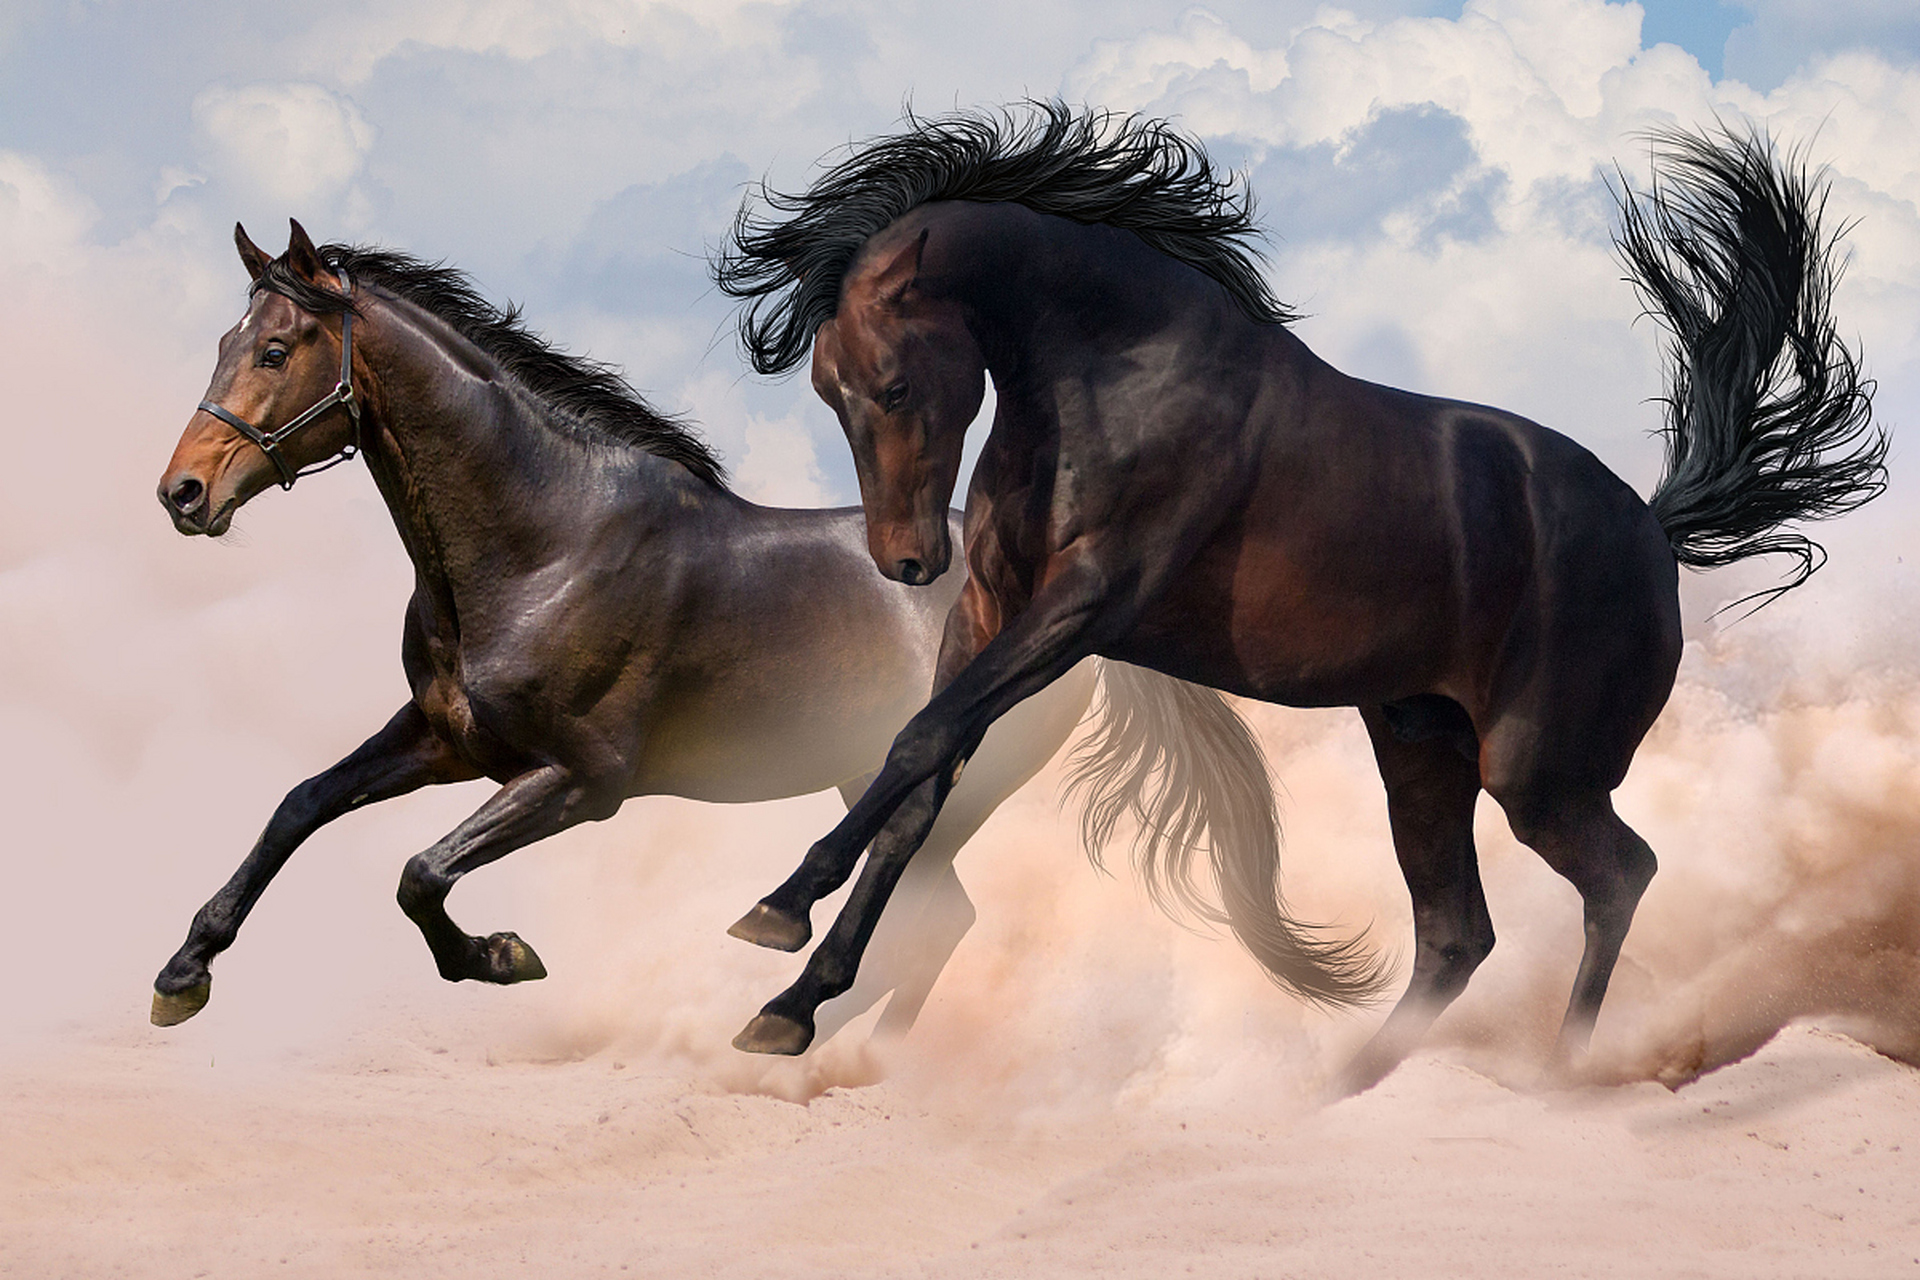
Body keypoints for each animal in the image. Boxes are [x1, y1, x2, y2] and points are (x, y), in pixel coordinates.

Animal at [150, 219, 1289, 1046]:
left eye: (277, 349)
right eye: (225, 343)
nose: (183, 492)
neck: (545, 545)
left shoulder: (581, 780)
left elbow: (420, 873)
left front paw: (503, 956)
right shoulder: (447, 739)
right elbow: (299, 806)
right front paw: (181, 974)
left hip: (946, 784)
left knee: (922, 911)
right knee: (933, 918)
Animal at [711, 106, 1885, 1091]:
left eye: (895, 383)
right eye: (827, 390)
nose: (905, 563)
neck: (1114, 373)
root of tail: (1651, 526)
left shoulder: (1084, 609)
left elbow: (916, 745)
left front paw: (774, 910)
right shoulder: (990, 617)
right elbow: (920, 781)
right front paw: (789, 1002)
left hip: (1535, 769)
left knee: (1619, 876)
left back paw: (1561, 1075)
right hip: (1420, 749)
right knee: (1458, 931)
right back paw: (1334, 1092)